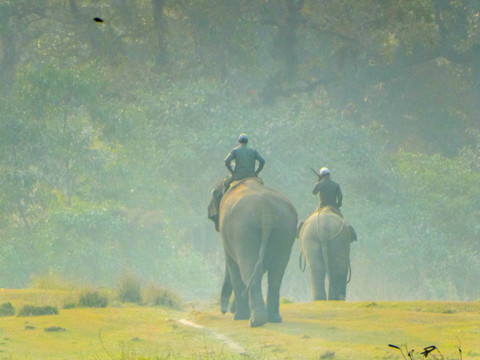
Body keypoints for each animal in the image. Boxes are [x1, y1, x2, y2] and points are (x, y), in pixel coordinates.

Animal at [206, 179, 296, 328]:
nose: (224, 311)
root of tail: (266, 214)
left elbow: (233, 266)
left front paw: (238, 316)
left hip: (244, 231)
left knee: (247, 270)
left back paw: (254, 320)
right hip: (284, 229)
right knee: (276, 274)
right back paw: (273, 319)